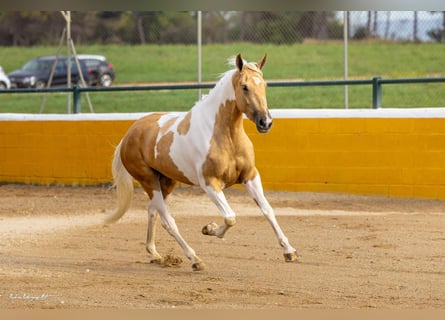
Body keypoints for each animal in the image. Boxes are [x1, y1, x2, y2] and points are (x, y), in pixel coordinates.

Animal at [104, 53, 296, 270]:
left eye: (264, 84)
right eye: (245, 86)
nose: (266, 122)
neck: (225, 137)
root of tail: (129, 135)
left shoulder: (250, 176)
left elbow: (267, 210)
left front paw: (289, 251)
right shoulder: (210, 183)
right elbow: (230, 217)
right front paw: (209, 229)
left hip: (166, 182)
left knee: (153, 212)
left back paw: (155, 254)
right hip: (148, 181)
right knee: (168, 221)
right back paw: (195, 259)